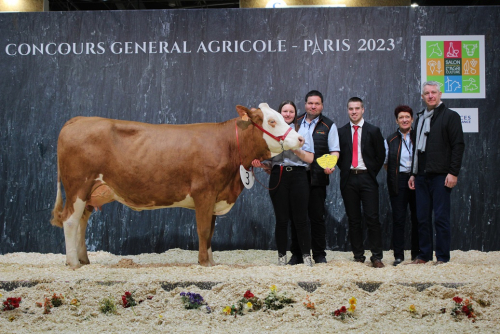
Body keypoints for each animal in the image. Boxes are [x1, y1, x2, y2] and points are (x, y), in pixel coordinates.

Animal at [50, 103, 302, 268]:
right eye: (272, 121)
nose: (300, 139)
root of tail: (78, 120)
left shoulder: (215, 196)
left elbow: (211, 231)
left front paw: (211, 261)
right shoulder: (204, 192)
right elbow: (203, 230)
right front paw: (204, 263)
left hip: (90, 193)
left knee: (82, 221)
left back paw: (84, 259)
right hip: (77, 187)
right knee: (70, 220)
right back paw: (73, 263)